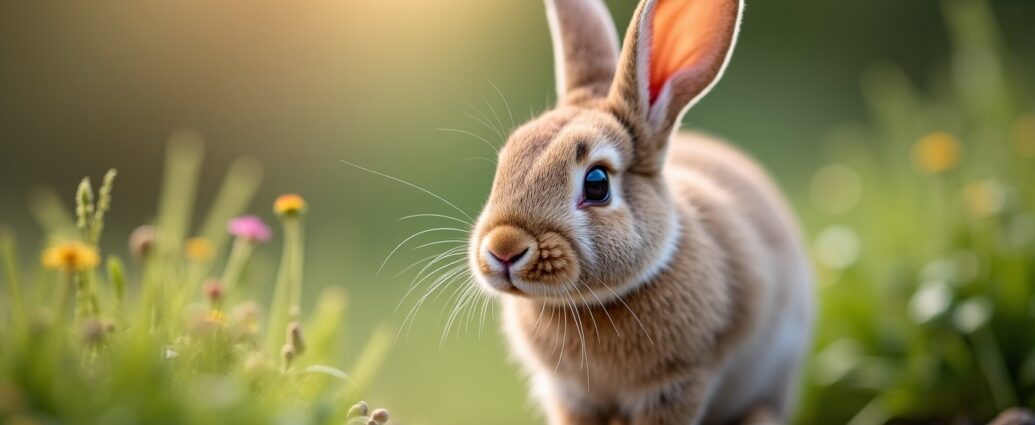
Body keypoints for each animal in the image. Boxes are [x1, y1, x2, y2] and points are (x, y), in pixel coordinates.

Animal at [466, 0, 814, 424]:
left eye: (597, 183)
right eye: (505, 162)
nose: (503, 249)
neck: (590, 303)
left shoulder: (676, 385)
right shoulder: (570, 395)